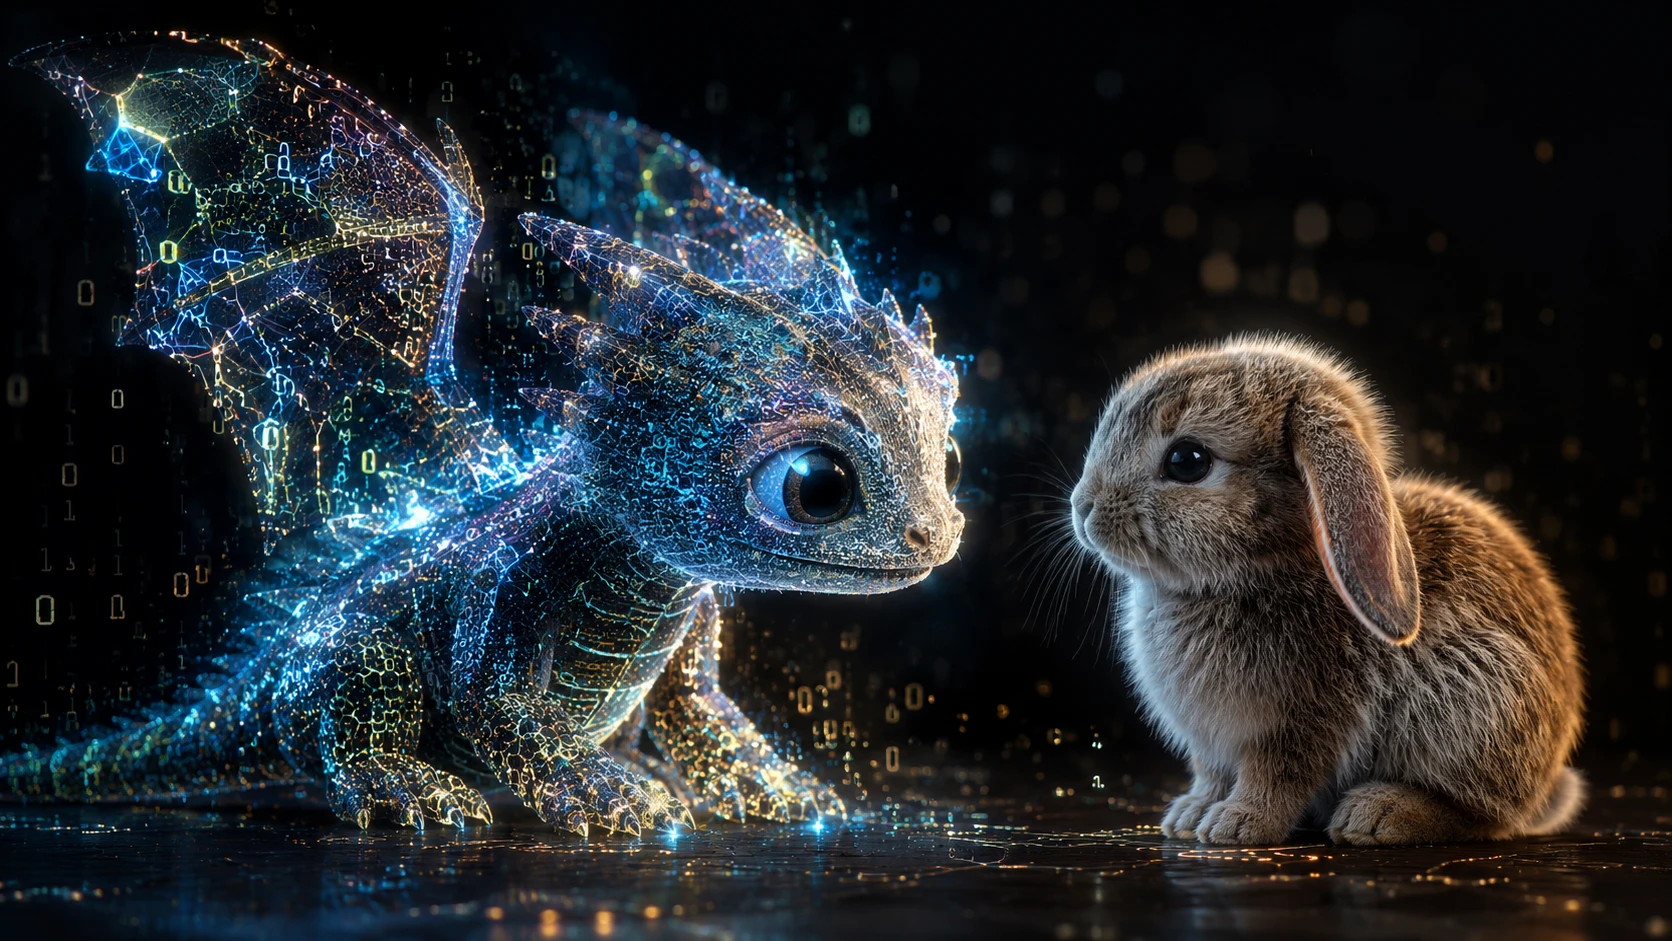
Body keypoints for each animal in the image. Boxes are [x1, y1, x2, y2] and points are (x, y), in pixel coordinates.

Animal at [1069, 334, 1585, 845]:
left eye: (1187, 461)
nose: (1082, 507)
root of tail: (1547, 780)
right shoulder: (1212, 745)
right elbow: (1211, 774)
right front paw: (1189, 816)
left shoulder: (1305, 722)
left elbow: (1279, 777)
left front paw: (1235, 825)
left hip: (1475, 704)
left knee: (1485, 816)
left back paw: (1377, 815)